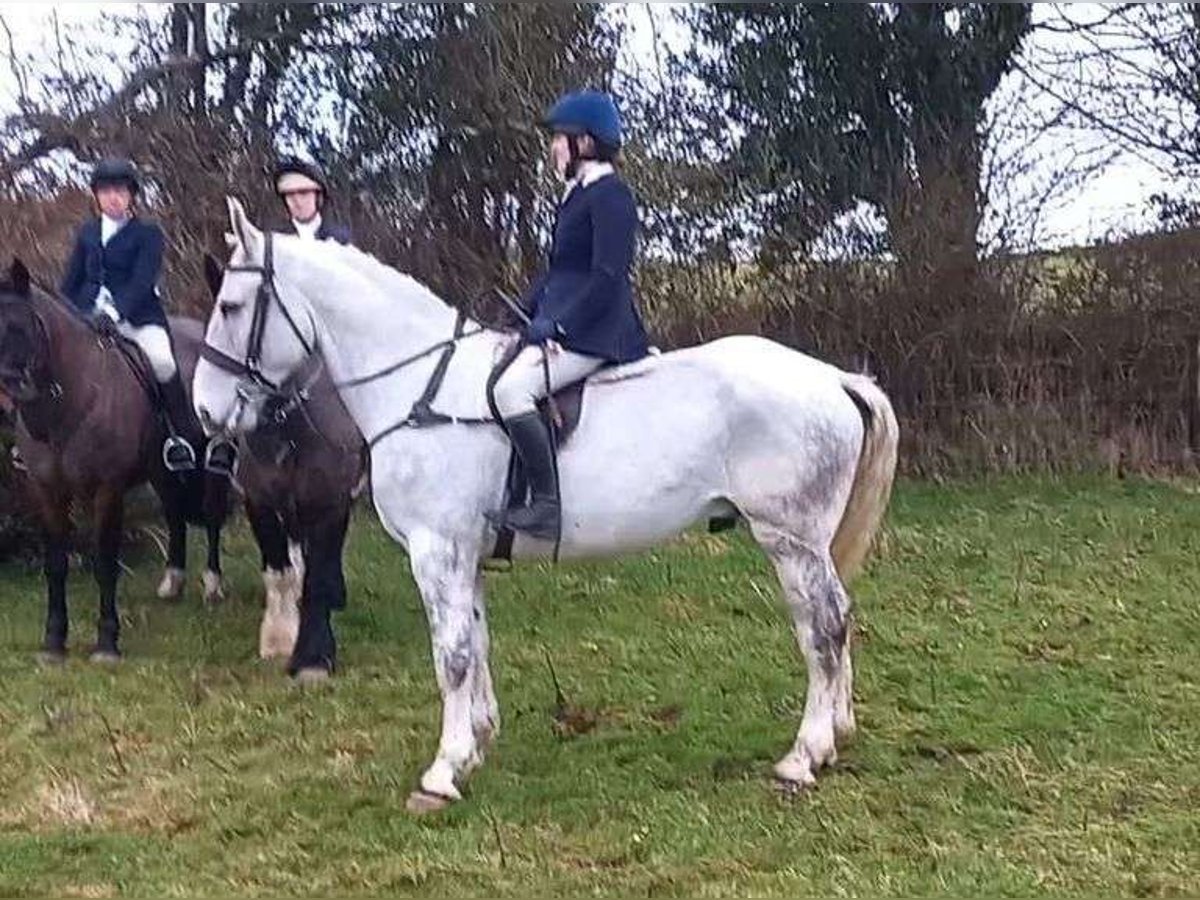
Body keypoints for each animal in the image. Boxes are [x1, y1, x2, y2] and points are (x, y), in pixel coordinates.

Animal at [0, 260, 229, 662]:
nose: (11, 390)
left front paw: (107, 642)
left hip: (210, 462)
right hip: (161, 471)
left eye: (21, 326)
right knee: (174, 513)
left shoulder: (107, 489)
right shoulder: (47, 490)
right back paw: (172, 582)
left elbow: (105, 563)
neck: (68, 404)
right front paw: (53, 642)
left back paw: (212, 586)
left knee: (212, 514)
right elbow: (55, 564)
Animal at [201, 256, 364, 686]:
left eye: (231, 311)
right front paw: (278, 637)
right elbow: (279, 569)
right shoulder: (259, 500)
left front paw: (314, 657)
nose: (206, 408)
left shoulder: (330, 499)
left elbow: (319, 571)